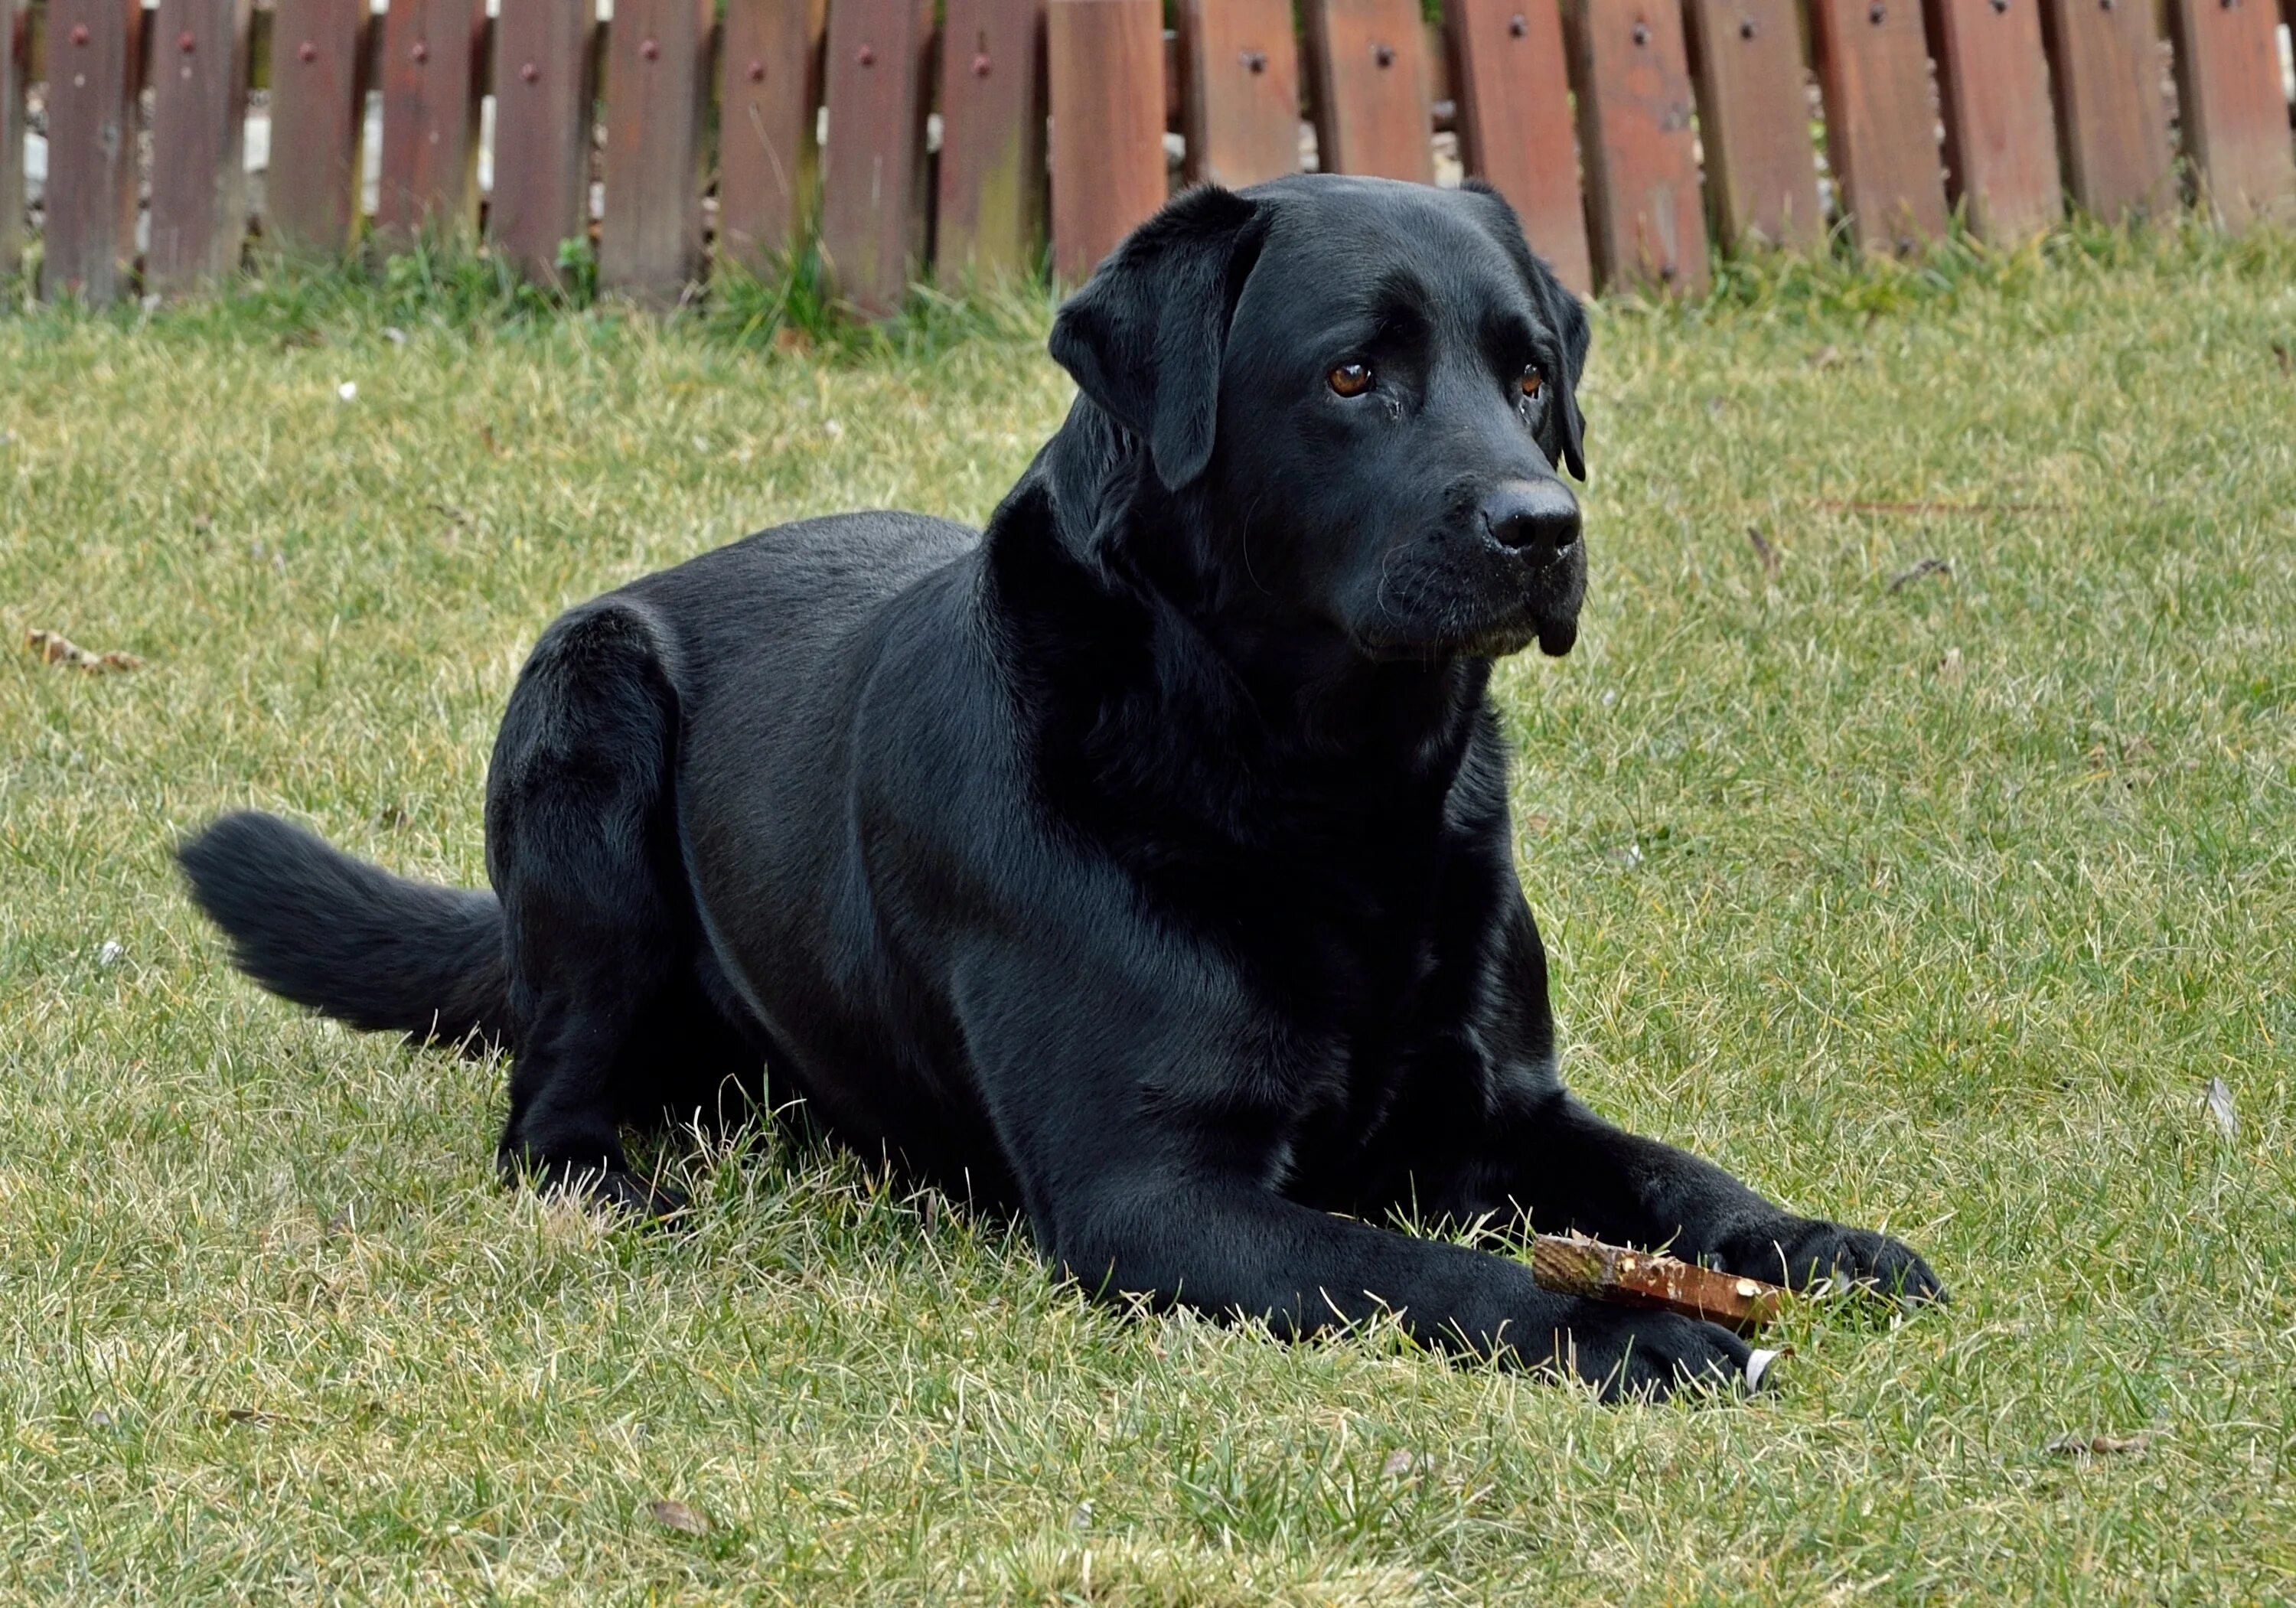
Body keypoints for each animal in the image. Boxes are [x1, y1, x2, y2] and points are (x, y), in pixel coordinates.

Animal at [184, 179, 1938, 1396]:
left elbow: (1681, 1179)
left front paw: (1814, 1244)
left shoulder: (1506, 1111)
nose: (1542, 528)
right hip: (586, 719)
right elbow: (1431, 1276)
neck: (1321, 787)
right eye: (1353, 375)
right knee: (545, 1105)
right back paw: (619, 1180)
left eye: (1526, 379)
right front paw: (1634, 1333)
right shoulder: (1151, 1195)